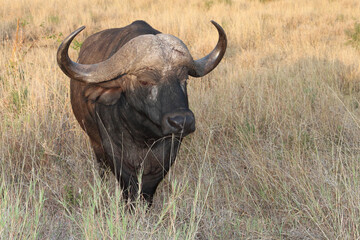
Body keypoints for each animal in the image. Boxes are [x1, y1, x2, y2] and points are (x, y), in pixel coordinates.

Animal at [56, 19, 226, 205]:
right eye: (144, 81)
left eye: (184, 78)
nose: (182, 121)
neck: (143, 136)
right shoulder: (115, 154)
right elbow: (129, 187)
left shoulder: (166, 156)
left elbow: (147, 189)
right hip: (95, 144)